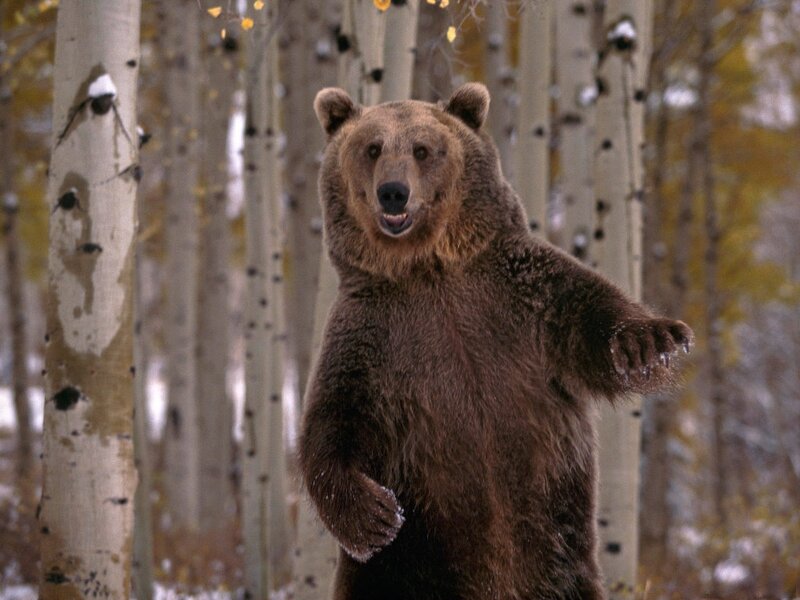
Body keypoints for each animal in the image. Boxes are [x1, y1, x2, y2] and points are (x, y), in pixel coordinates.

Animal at [299, 82, 693, 600]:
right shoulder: (371, 340)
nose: (393, 192)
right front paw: (375, 516)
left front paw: (651, 342)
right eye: (372, 148)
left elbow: (590, 312)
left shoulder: (522, 299)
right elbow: (331, 424)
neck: (429, 269)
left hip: (559, 558)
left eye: (422, 149)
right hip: (404, 570)